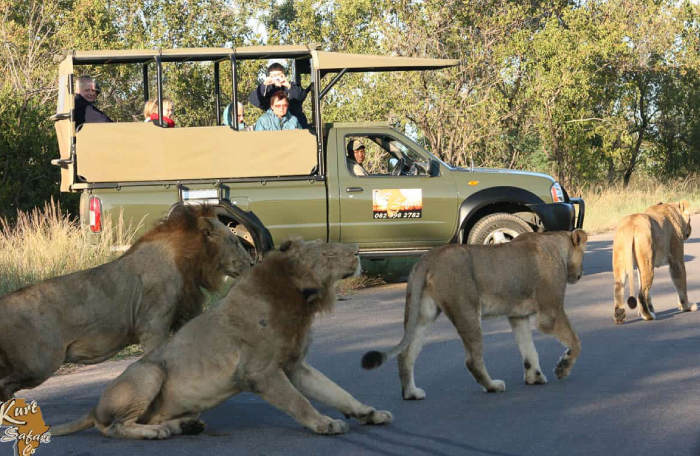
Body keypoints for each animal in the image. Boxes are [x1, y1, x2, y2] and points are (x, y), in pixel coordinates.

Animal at [0, 205, 252, 400]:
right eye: (234, 241)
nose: (251, 263)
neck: (190, 263)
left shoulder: (182, 318)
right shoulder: (153, 327)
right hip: (40, 363)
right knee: (5, 385)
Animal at [53, 240, 394, 440]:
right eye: (327, 252)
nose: (358, 252)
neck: (300, 300)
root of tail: (94, 407)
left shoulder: (296, 366)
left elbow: (337, 392)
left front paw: (369, 413)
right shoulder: (260, 372)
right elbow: (300, 401)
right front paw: (324, 423)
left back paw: (183, 425)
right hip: (150, 371)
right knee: (112, 427)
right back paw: (158, 431)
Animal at [364, 230, 588, 400]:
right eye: (584, 254)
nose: (580, 275)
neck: (557, 245)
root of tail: (428, 258)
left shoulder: (518, 316)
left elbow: (529, 350)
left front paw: (534, 377)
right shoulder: (550, 313)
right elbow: (576, 341)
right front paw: (563, 367)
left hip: (422, 314)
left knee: (406, 353)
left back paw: (411, 393)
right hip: (467, 310)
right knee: (472, 360)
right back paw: (493, 386)